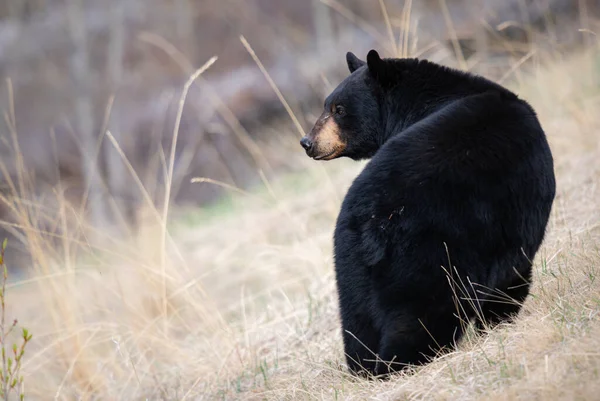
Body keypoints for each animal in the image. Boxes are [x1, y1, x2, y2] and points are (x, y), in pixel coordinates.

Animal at [300, 49, 556, 376]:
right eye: (329, 106)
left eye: (338, 109)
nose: (307, 142)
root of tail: (370, 223)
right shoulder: (508, 223)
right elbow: (511, 275)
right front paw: (499, 323)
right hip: (429, 255)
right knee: (422, 316)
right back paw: (405, 361)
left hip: (348, 265)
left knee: (358, 324)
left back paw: (365, 367)